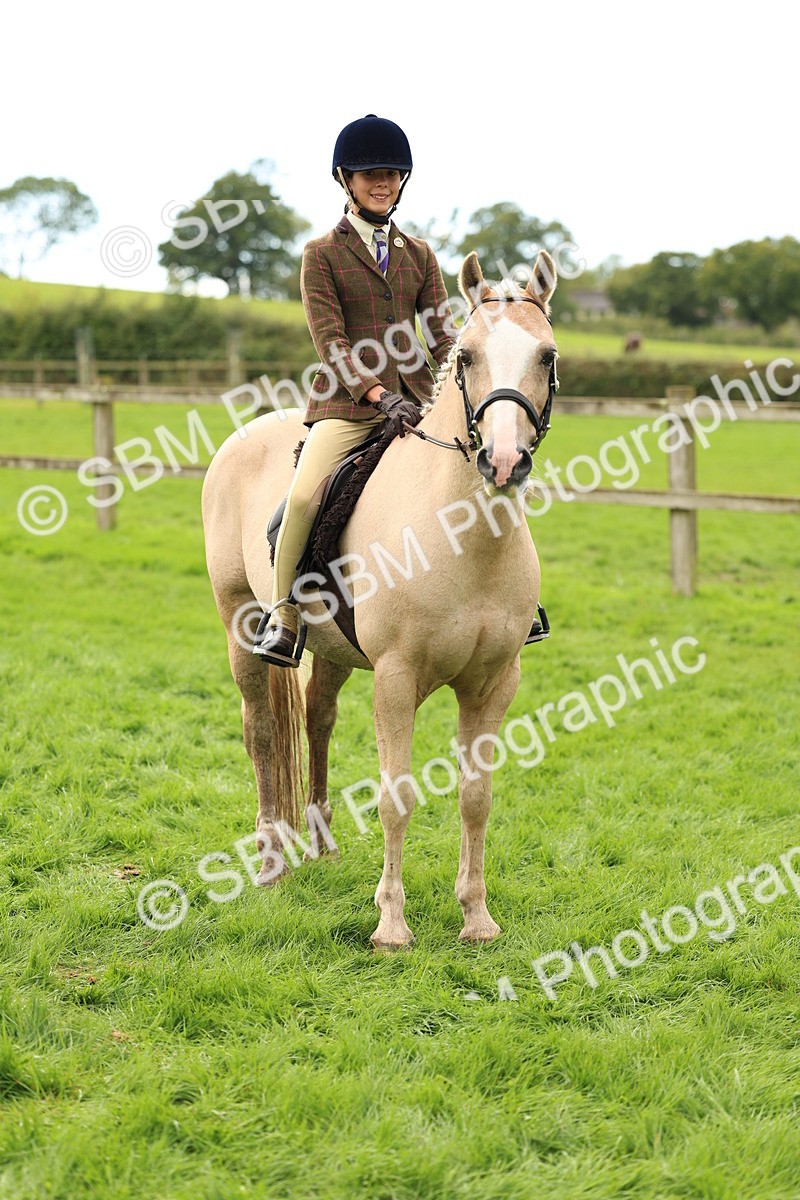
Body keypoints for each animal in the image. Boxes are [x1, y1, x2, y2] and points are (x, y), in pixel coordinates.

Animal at [202, 248, 559, 949]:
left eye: (546, 356)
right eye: (468, 356)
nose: (502, 462)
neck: (462, 537)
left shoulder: (493, 683)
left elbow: (476, 797)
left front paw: (476, 917)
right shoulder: (396, 678)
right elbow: (397, 796)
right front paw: (391, 924)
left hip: (334, 651)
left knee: (317, 719)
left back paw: (322, 847)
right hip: (240, 626)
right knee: (262, 733)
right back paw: (271, 862)